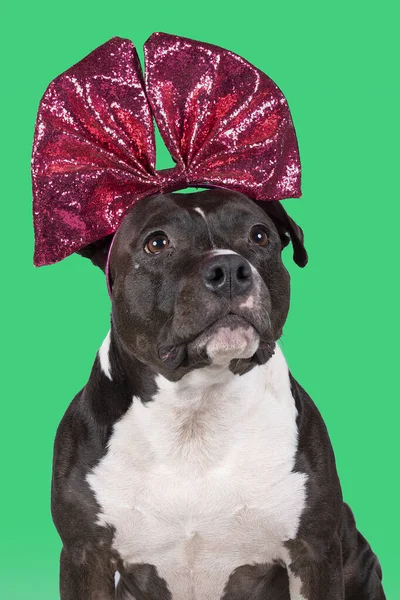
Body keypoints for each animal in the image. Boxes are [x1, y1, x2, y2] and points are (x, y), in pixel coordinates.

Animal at [50, 186, 384, 596]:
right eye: (157, 243)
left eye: (259, 236)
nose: (228, 270)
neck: (197, 408)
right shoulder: (85, 556)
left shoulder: (314, 552)